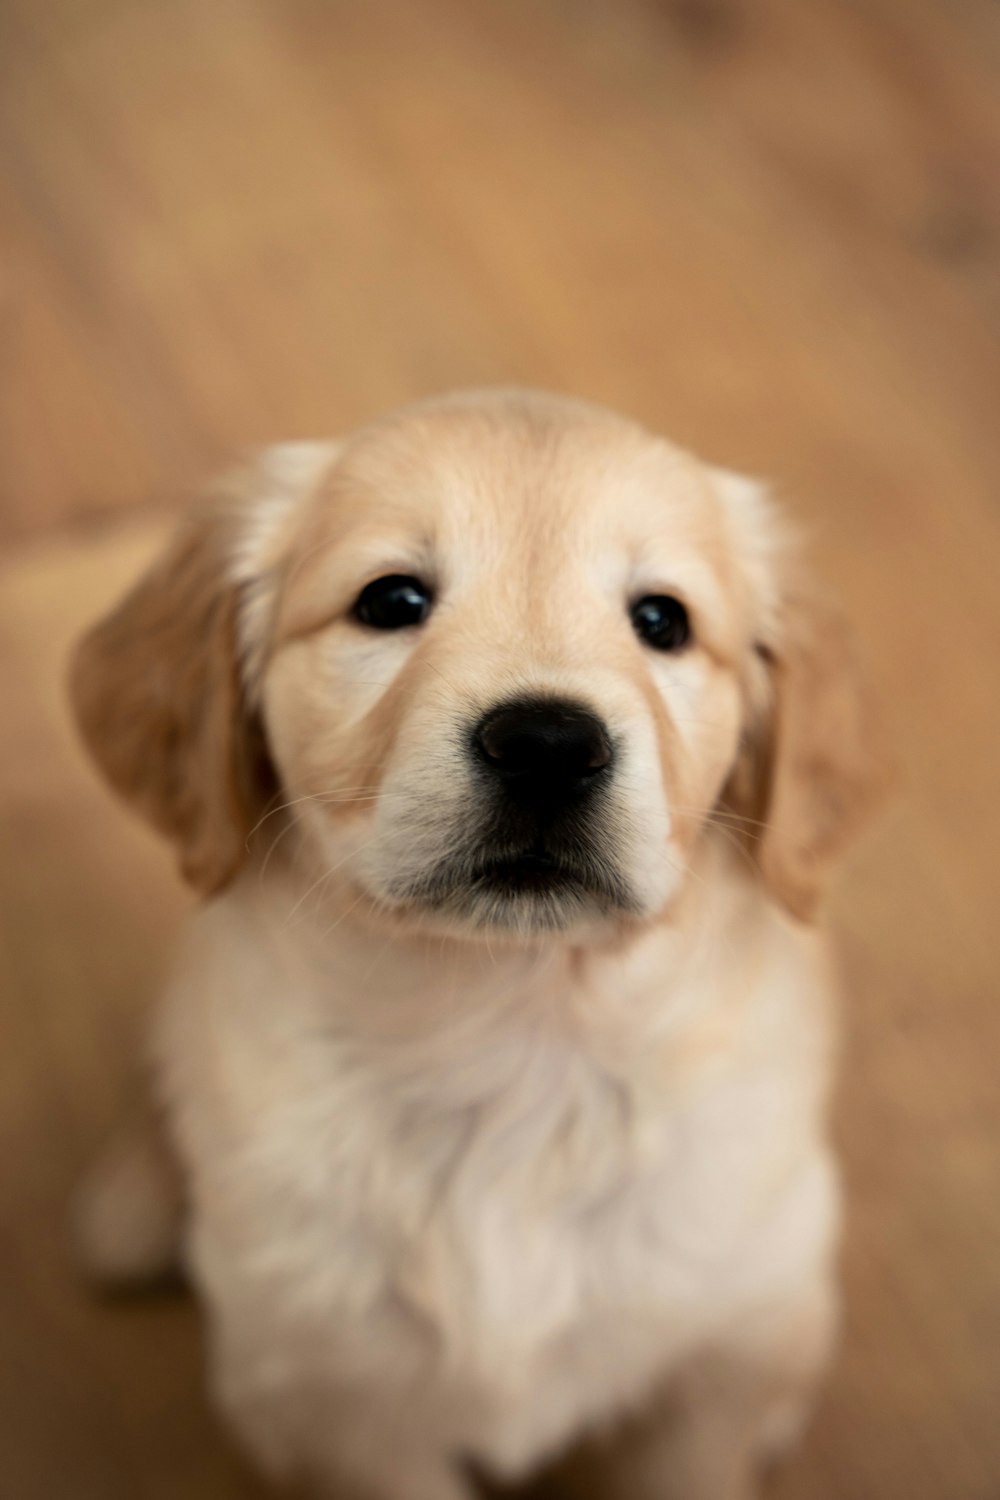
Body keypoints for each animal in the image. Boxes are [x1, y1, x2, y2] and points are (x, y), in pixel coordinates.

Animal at [68, 390, 881, 1500]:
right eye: (391, 600)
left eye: (661, 621)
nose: (548, 746)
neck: (514, 1026)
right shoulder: (346, 1408)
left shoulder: (716, 1366)